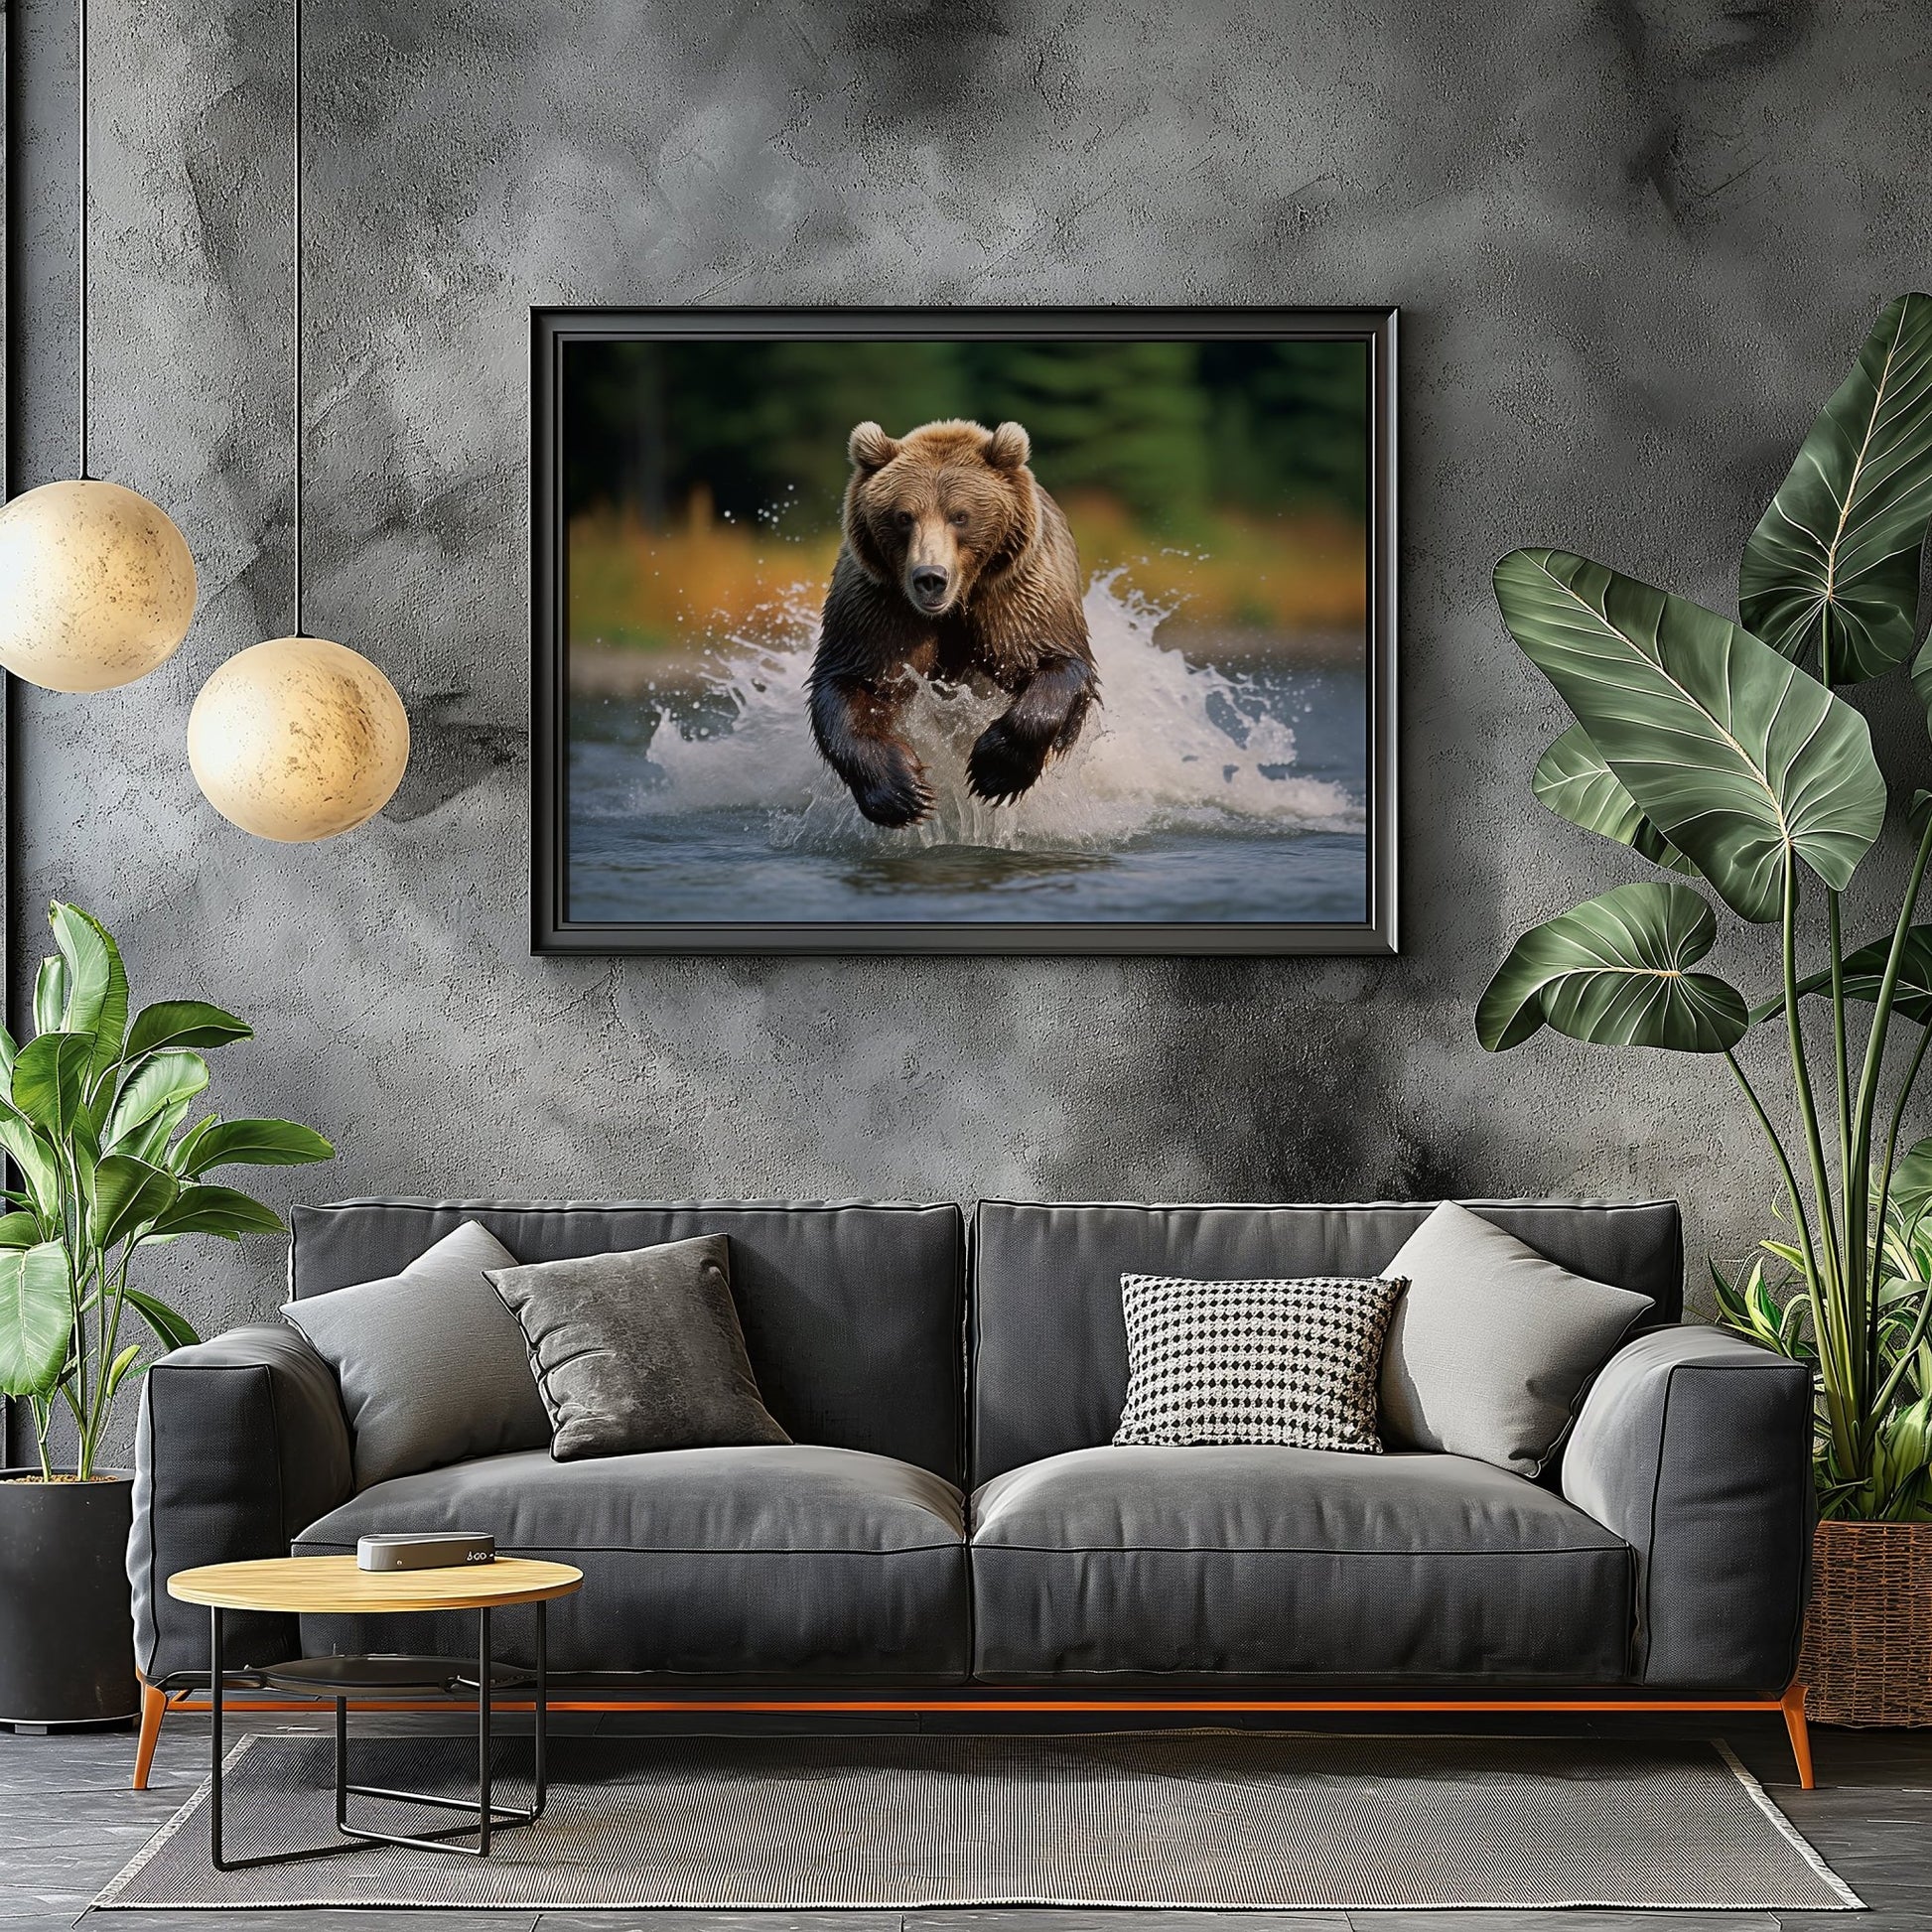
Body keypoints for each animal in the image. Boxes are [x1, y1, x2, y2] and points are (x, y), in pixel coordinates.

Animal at [807, 417, 1098, 828]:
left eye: (960, 515)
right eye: (903, 516)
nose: (930, 577)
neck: (955, 604)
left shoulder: (1015, 591)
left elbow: (1055, 663)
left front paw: (994, 770)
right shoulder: (880, 604)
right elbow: (851, 682)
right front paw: (903, 791)